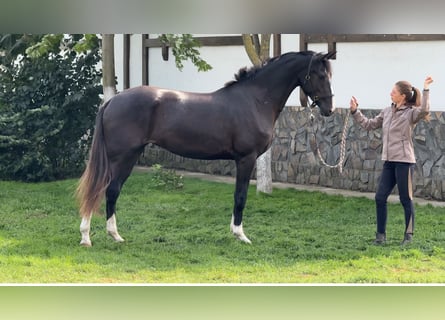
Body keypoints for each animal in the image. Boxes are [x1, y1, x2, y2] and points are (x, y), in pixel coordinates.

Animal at [76, 50, 334, 246]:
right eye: (321, 75)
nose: (329, 108)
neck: (255, 99)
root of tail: (112, 100)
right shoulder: (246, 159)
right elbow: (240, 196)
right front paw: (240, 235)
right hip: (123, 157)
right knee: (107, 190)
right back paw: (93, 236)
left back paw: (109, 235)